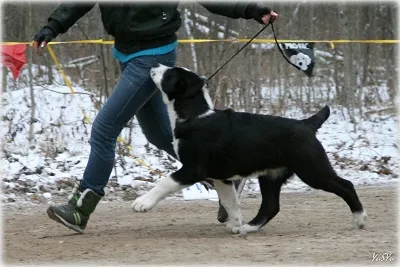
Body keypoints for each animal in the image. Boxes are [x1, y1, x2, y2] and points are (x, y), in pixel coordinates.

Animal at [132, 64, 366, 234]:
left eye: (170, 74)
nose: (154, 64)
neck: (195, 115)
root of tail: (306, 124)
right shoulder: (221, 177)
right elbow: (230, 200)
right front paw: (235, 222)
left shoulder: (193, 169)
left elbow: (165, 182)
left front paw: (142, 203)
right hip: (271, 175)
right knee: (271, 206)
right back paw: (248, 227)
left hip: (312, 169)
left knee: (346, 185)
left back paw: (359, 219)